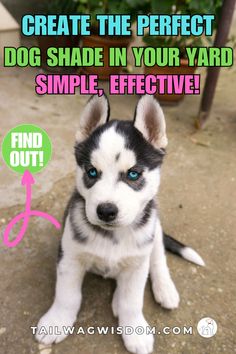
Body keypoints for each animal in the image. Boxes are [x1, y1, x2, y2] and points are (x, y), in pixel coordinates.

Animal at [35, 94, 205, 354]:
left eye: (133, 174)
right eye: (91, 172)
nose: (105, 211)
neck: (112, 237)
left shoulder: (138, 262)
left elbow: (132, 301)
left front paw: (135, 330)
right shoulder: (70, 256)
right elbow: (67, 295)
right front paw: (56, 321)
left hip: (154, 232)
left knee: (158, 261)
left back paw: (164, 289)